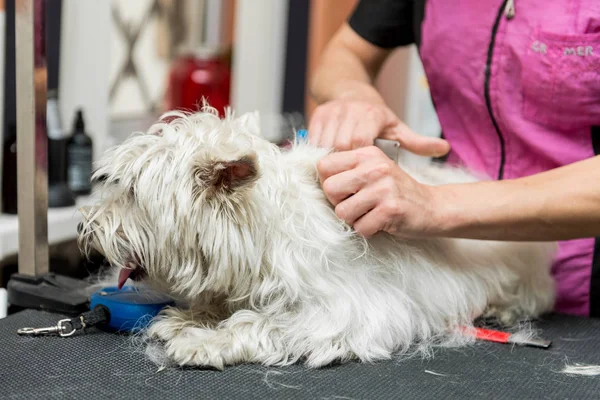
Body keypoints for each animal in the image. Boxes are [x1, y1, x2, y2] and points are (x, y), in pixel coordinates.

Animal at [78, 105, 552, 368]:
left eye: (132, 193)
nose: (86, 227)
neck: (262, 234)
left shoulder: (347, 310)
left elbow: (263, 322)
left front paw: (206, 340)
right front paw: (190, 318)